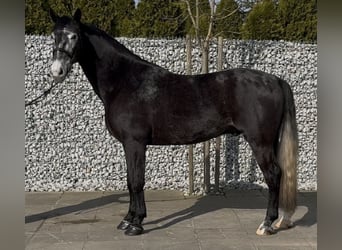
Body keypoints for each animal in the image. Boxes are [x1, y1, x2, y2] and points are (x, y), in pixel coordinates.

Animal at [47, 9, 296, 236]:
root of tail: (275, 80)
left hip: (260, 142)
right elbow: (129, 180)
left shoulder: (135, 142)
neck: (126, 82)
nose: (57, 71)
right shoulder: (128, 145)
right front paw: (127, 220)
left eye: (74, 36)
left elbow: (136, 181)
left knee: (273, 175)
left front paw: (136, 224)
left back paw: (266, 224)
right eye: (53, 35)